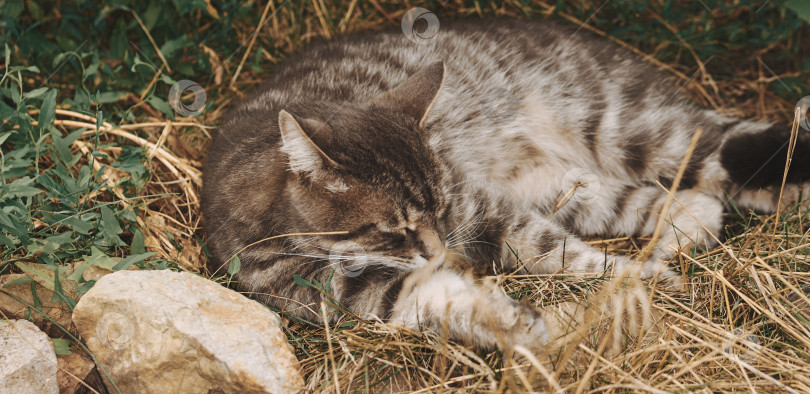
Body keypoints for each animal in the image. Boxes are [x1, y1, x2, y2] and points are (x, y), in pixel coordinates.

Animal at [204, 17, 808, 350]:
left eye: (439, 208)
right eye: (394, 229)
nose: (440, 250)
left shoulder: (480, 206)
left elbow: (557, 251)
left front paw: (635, 278)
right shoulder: (359, 294)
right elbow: (447, 302)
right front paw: (521, 326)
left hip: (636, 131)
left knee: (729, 157)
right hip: (571, 188)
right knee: (679, 201)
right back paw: (680, 232)